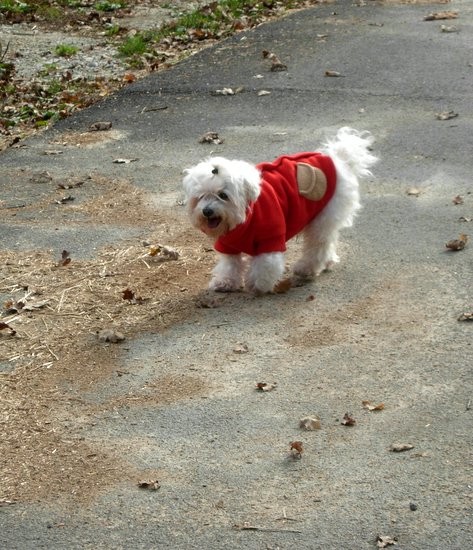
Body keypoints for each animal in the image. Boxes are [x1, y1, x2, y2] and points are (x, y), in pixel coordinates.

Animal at [182, 128, 376, 296]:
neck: (246, 219)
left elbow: (265, 264)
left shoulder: (271, 239)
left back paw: (307, 268)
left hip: (323, 217)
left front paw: (257, 284)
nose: (207, 211)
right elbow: (230, 264)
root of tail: (337, 159)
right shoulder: (228, 244)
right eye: (201, 196)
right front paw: (225, 282)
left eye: (223, 195)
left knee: (318, 245)